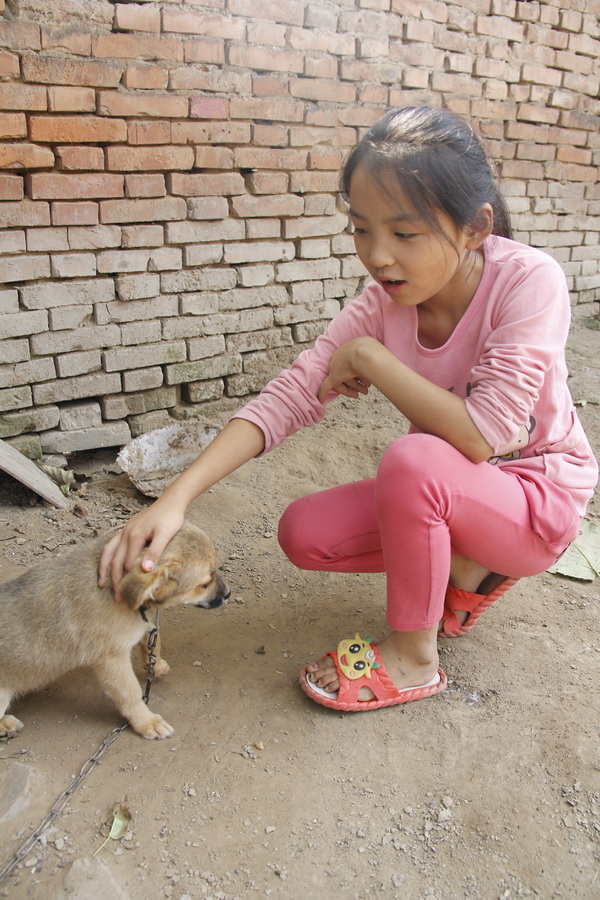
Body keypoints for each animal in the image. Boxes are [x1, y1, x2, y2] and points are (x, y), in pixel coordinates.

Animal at [0, 520, 230, 740]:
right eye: (205, 583)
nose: (228, 594)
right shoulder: (111, 659)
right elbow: (131, 693)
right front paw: (146, 722)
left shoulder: (140, 623)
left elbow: (152, 638)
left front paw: (155, 664)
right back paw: (5, 725)